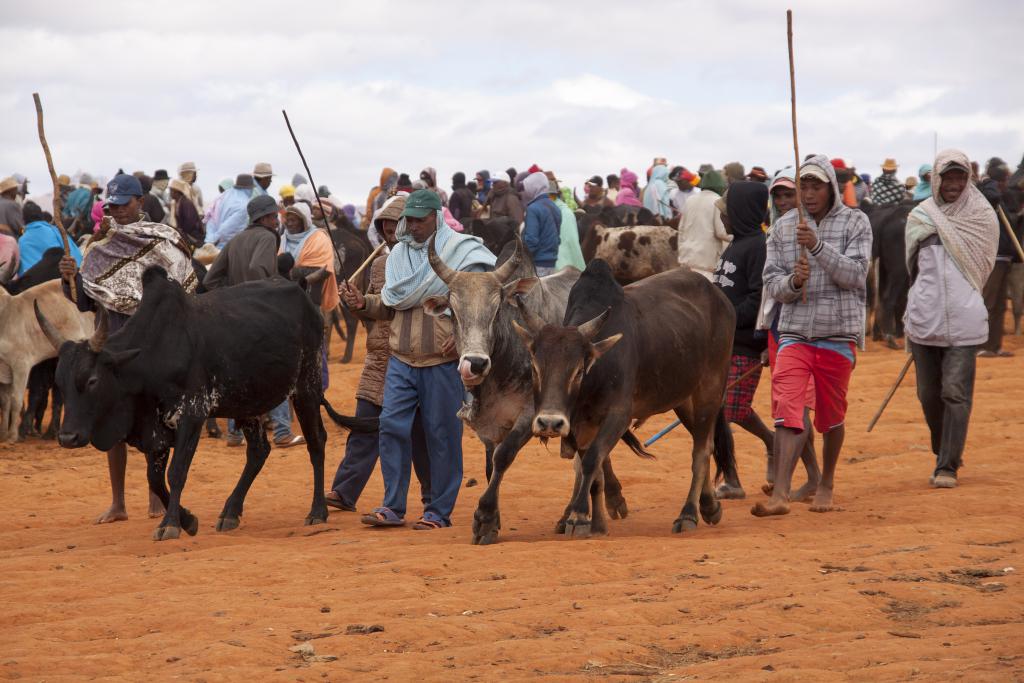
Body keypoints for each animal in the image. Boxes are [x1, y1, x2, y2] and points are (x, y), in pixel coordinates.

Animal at [40, 266, 376, 540]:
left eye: (92, 380)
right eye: (60, 382)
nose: (67, 437)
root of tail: (301, 289)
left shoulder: (192, 413)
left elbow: (176, 472)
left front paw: (170, 524)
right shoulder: (155, 429)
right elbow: (154, 479)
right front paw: (187, 520)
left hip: (306, 387)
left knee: (316, 443)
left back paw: (317, 511)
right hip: (247, 403)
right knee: (258, 452)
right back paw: (231, 512)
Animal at [509, 262, 737, 540]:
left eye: (579, 371)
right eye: (535, 367)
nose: (550, 423)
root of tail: (720, 297)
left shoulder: (618, 416)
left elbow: (592, 461)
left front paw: (578, 517)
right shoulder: (582, 425)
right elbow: (595, 471)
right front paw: (596, 524)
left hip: (709, 391)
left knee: (702, 450)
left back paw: (688, 514)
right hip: (683, 399)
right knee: (706, 442)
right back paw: (709, 506)